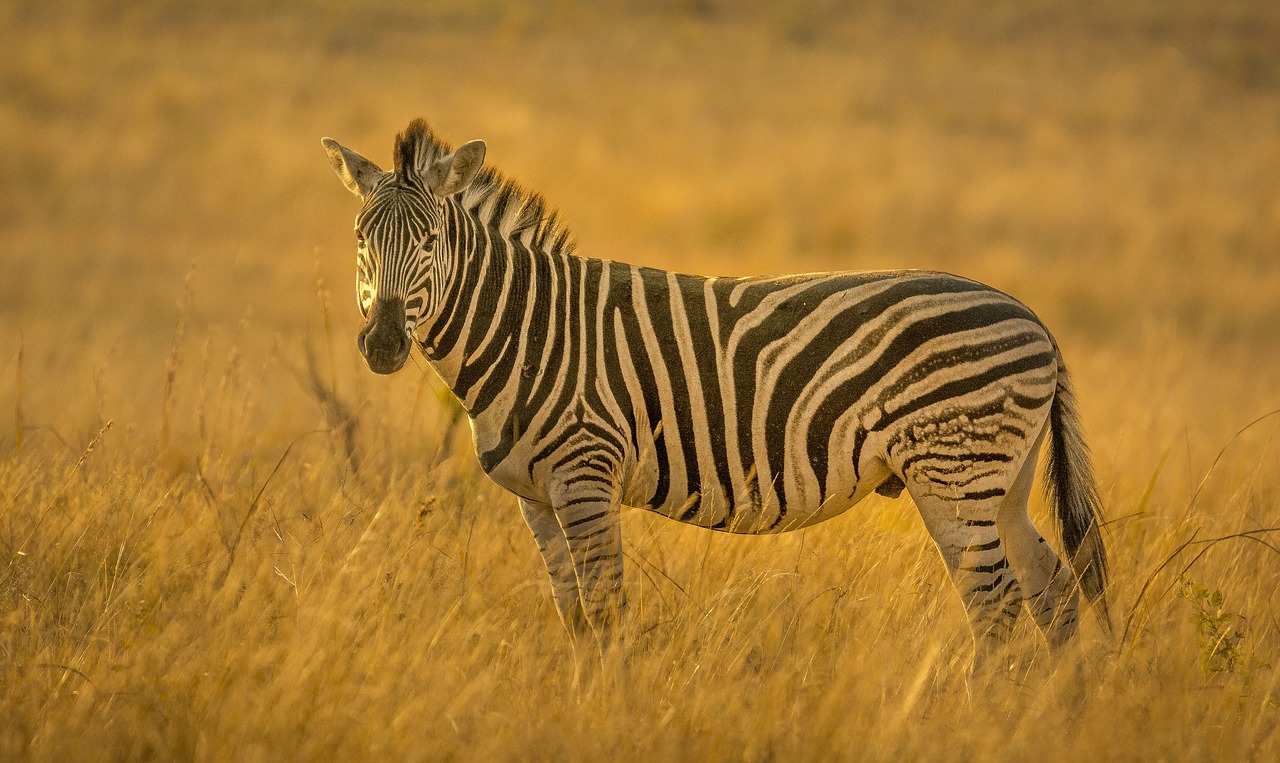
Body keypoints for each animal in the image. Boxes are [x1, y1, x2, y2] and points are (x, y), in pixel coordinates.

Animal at [322, 117, 1111, 665]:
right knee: (1055, 597)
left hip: (954, 472)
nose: (383, 344)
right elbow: (573, 619)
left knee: (997, 606)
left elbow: (605, 616)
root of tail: (1033, 317)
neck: (526, 328)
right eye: (360, 238)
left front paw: (608, 713)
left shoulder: (586, 477)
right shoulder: (535, 498)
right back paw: (1055, 717)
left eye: (430, 242)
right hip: (1001, 483)